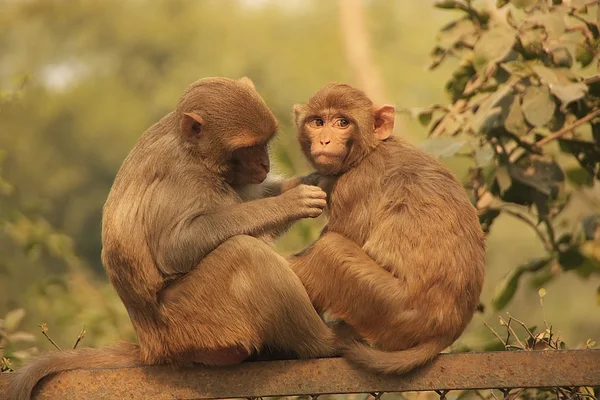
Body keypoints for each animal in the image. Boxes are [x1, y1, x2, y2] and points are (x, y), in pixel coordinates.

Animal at [7, 76, 338, 398]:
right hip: (192, 326)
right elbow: (175, 247)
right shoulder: (182, 177)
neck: (195, 152)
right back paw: (327, 343)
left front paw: (315, 180)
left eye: (264, 144)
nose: (264, 164)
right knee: (244, 253)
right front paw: (290, 202)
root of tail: (150, 348)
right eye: (247, 148)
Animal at [288, 83, 488, 376]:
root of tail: (446, 331)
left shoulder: (353, 187)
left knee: (330, 249)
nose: (324, 140)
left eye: (342, 123)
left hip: (391, 307)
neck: (368, 152)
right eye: (318, 122)